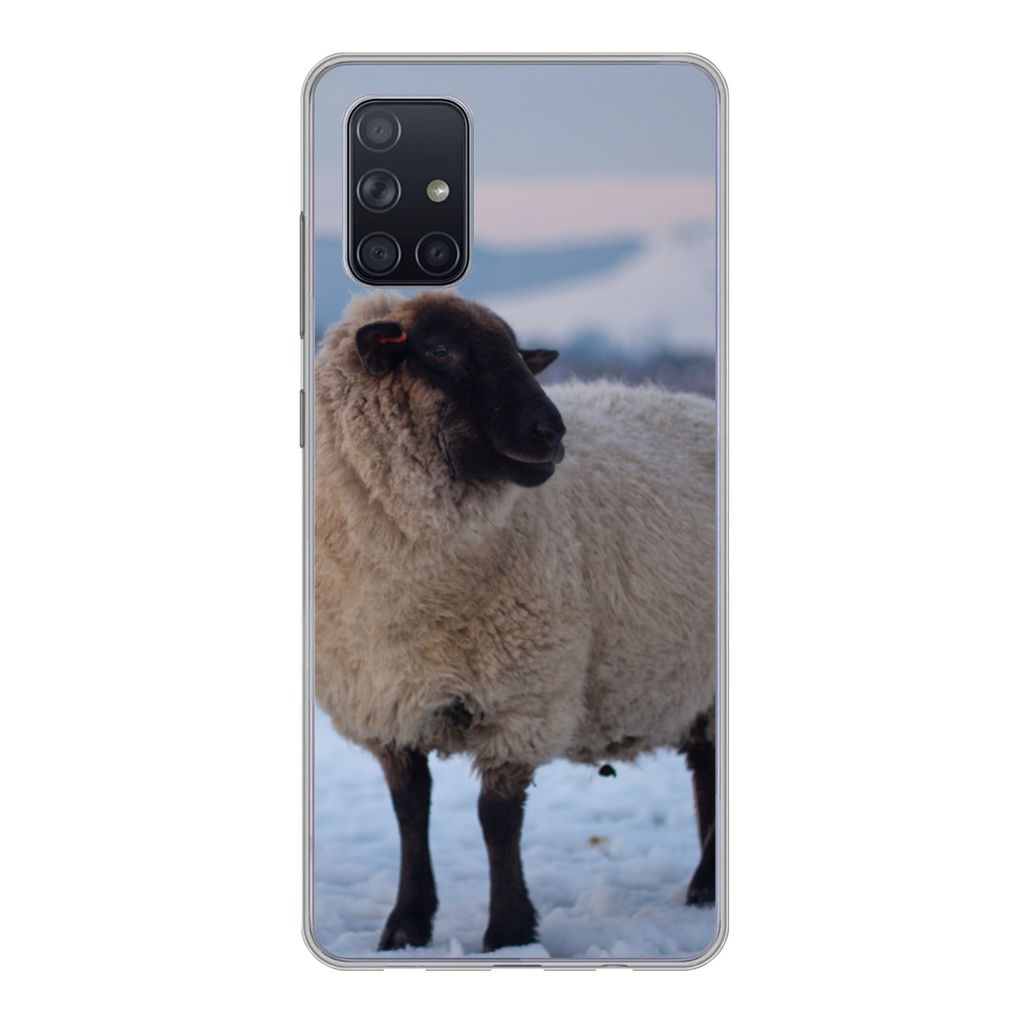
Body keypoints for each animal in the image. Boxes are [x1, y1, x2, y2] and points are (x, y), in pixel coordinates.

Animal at [314, 289, 717, 953]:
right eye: (439, 350)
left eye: (518, 353)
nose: (551, 432)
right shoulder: (386, 699)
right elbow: (409, 809)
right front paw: (406, 925)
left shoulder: (522, 695)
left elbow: (496, 820)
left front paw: (508, 931)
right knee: (708, 766)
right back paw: (707, 887)